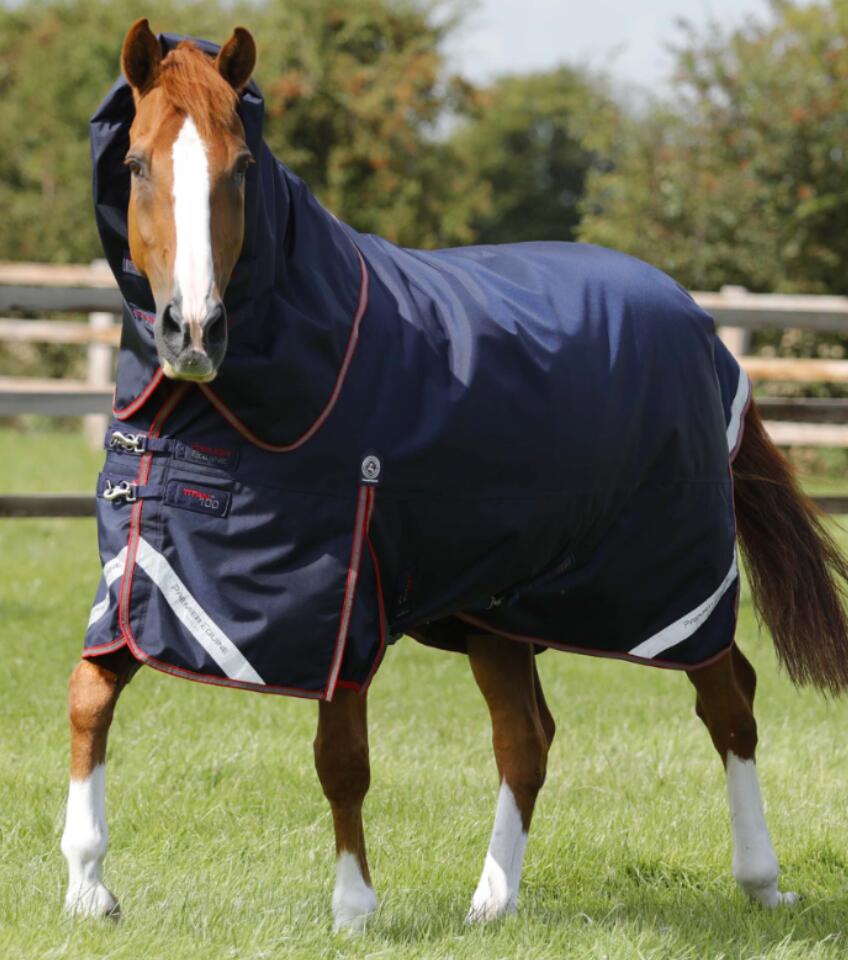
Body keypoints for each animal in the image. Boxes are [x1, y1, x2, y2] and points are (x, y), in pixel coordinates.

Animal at [61, 19, 848, 931]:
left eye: (243, 167)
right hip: (500, 608)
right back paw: (492, 900)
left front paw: (354, 907)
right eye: (136, 164)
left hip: (676, 583)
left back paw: (761, 878)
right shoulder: (151, 577)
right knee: (527, 738)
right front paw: (87, 885)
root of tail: (702, 324)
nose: (194, 329)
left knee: (729, 699)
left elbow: (341, 756)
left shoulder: (342, 596)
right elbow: (89, 694)